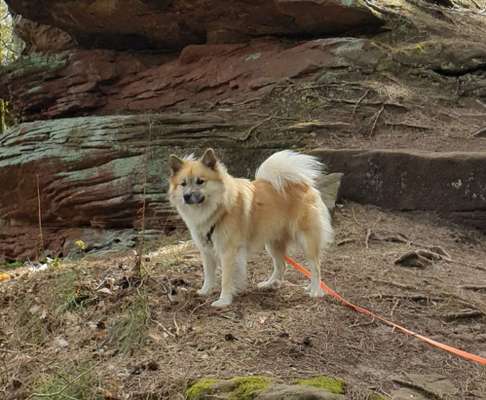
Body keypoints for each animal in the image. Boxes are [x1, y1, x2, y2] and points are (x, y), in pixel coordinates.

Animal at [167, 148, 338, 308]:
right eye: (183, 184)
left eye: (200, 181)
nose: (186, 196)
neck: (219, 210)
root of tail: (303, 184)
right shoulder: (206, 251)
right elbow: (208, 275)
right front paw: (205, 291)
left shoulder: (228, 252)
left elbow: (226, 279)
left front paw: (224, 300)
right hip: (273, 243)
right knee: (281, 266)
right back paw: (270, 284)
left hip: (307, 241)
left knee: (315, 267)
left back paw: (315, 290)